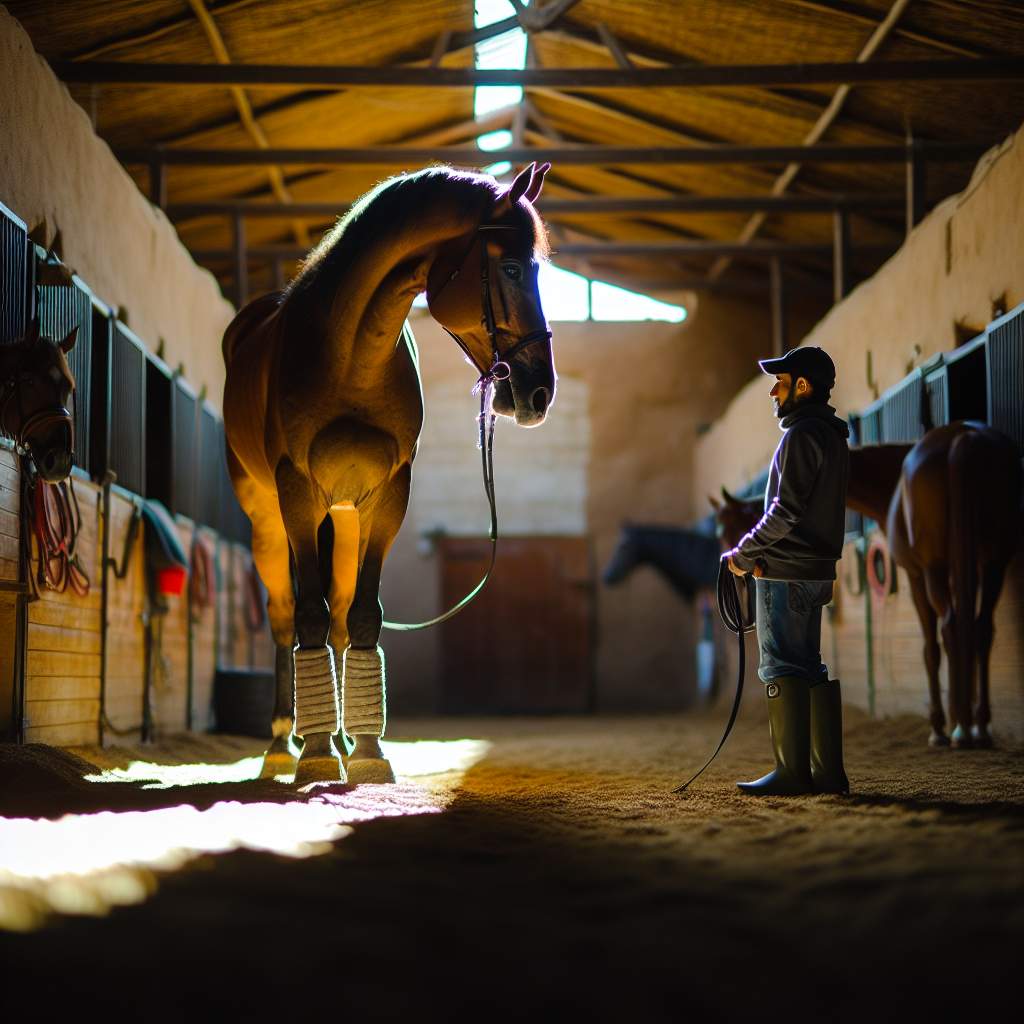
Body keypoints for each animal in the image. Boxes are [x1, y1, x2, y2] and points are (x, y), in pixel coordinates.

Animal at [224, 161, 557, 782]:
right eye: (510, 267)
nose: (539, 392)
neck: (351, 357)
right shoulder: (295, 492)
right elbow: (307, 616)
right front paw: (316, 755)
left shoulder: (387, 496)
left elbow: (360, 617)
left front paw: (368, 751)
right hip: (267, 519)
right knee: (284, 615)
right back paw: (285, 743)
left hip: (344, 517)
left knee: (336, 612)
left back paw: (337, 737)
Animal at [716, 428, 1019, 749]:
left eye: (734, 530)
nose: (735, 563)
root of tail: (964, 438)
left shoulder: (916, 572)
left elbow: (932, 647)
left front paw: (939, 728)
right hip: (994, 560)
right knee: (981, 628)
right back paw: (979, 726)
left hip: (937, 568)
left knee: (951, 628)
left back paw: (959, 728)